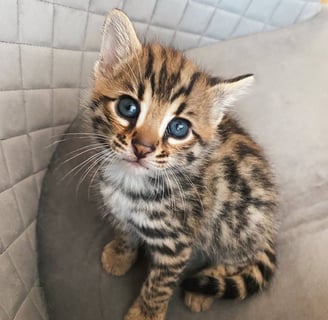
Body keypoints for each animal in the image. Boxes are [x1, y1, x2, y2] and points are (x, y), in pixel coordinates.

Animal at [90, 8, 280, 320]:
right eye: (128, 107)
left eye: (179, 128)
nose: (142, 148)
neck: (131, 182)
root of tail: (269, 227)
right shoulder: (120, 211)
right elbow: (126, 232)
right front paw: (121, 253)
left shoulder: (176, 244)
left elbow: (159, 283)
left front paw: (146, 313)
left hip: (237, 223)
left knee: (239, 257)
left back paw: (202, 288)